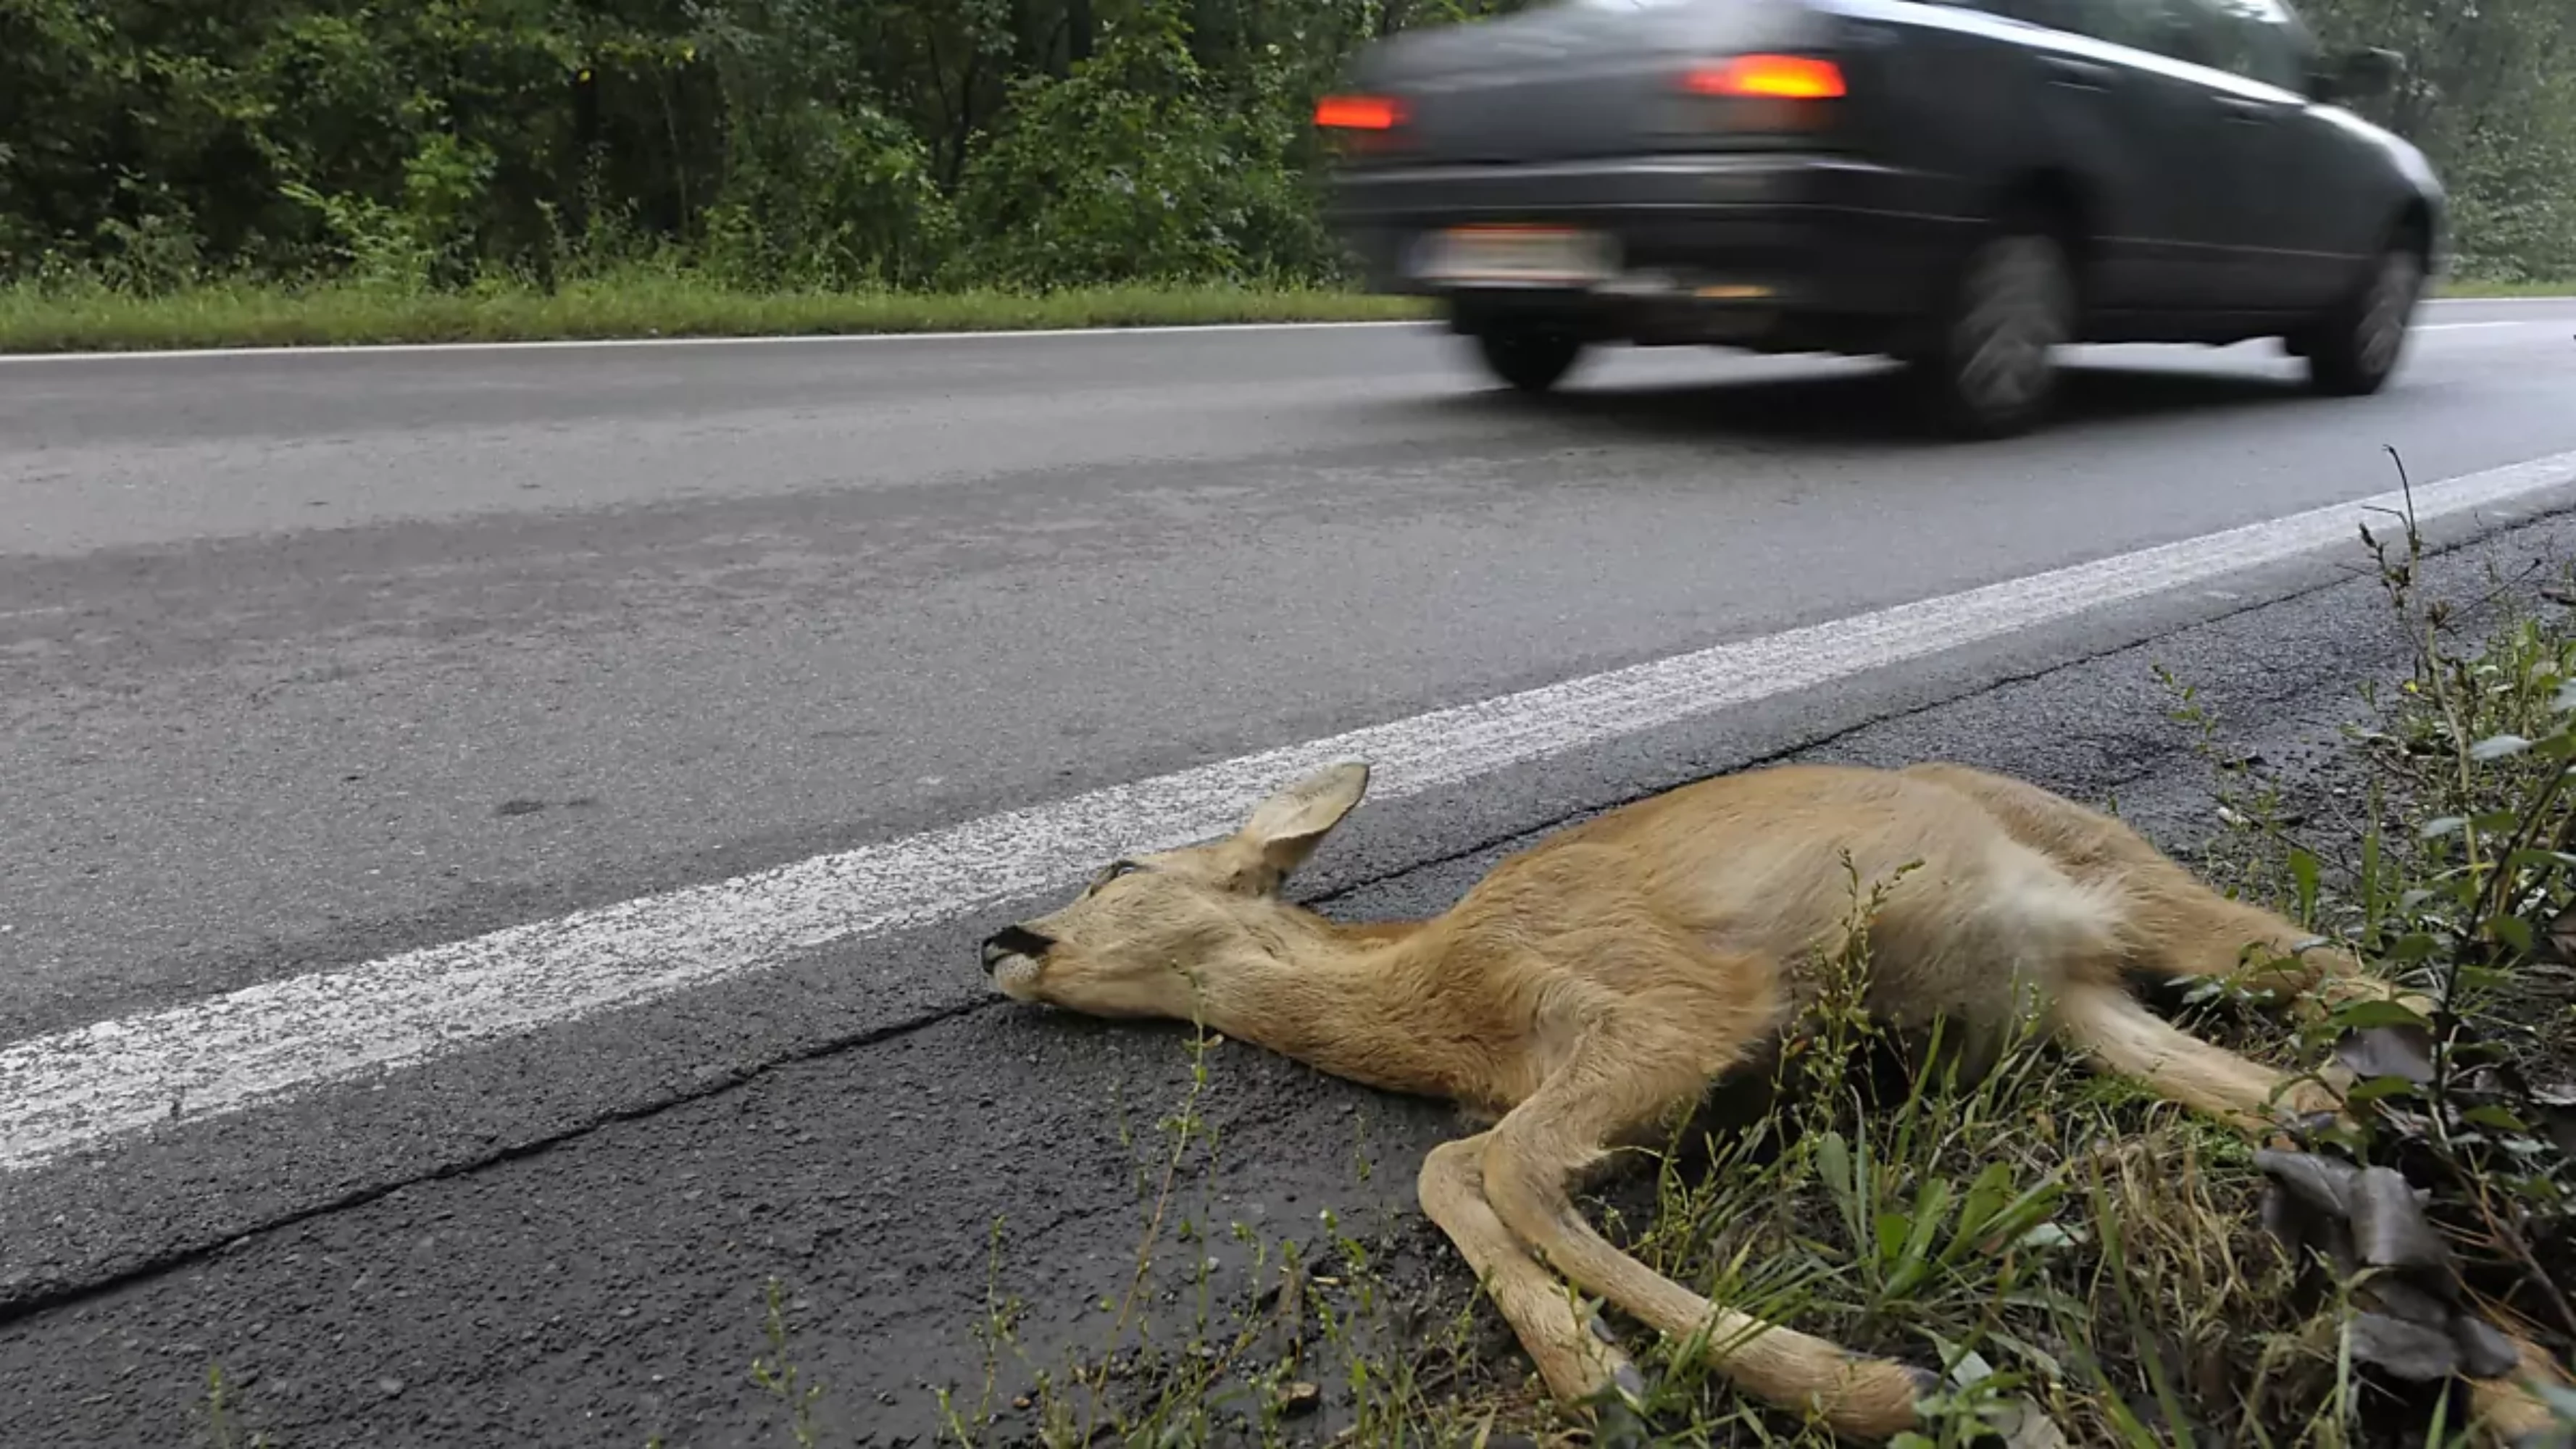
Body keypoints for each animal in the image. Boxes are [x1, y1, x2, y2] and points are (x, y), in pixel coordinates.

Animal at [976, 757, 2568, 1443]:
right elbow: (1459, 1170)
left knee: (2378, 997)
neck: (1444, 995)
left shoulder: (1686, 1005)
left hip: (2130, 884)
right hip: (2067, 1001)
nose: (1001, 940)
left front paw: (1886, 1389)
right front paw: (1593, 1368)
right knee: (2289, 1096)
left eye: (1118, 870)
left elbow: (1503, 1169)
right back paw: (2492, 1363)